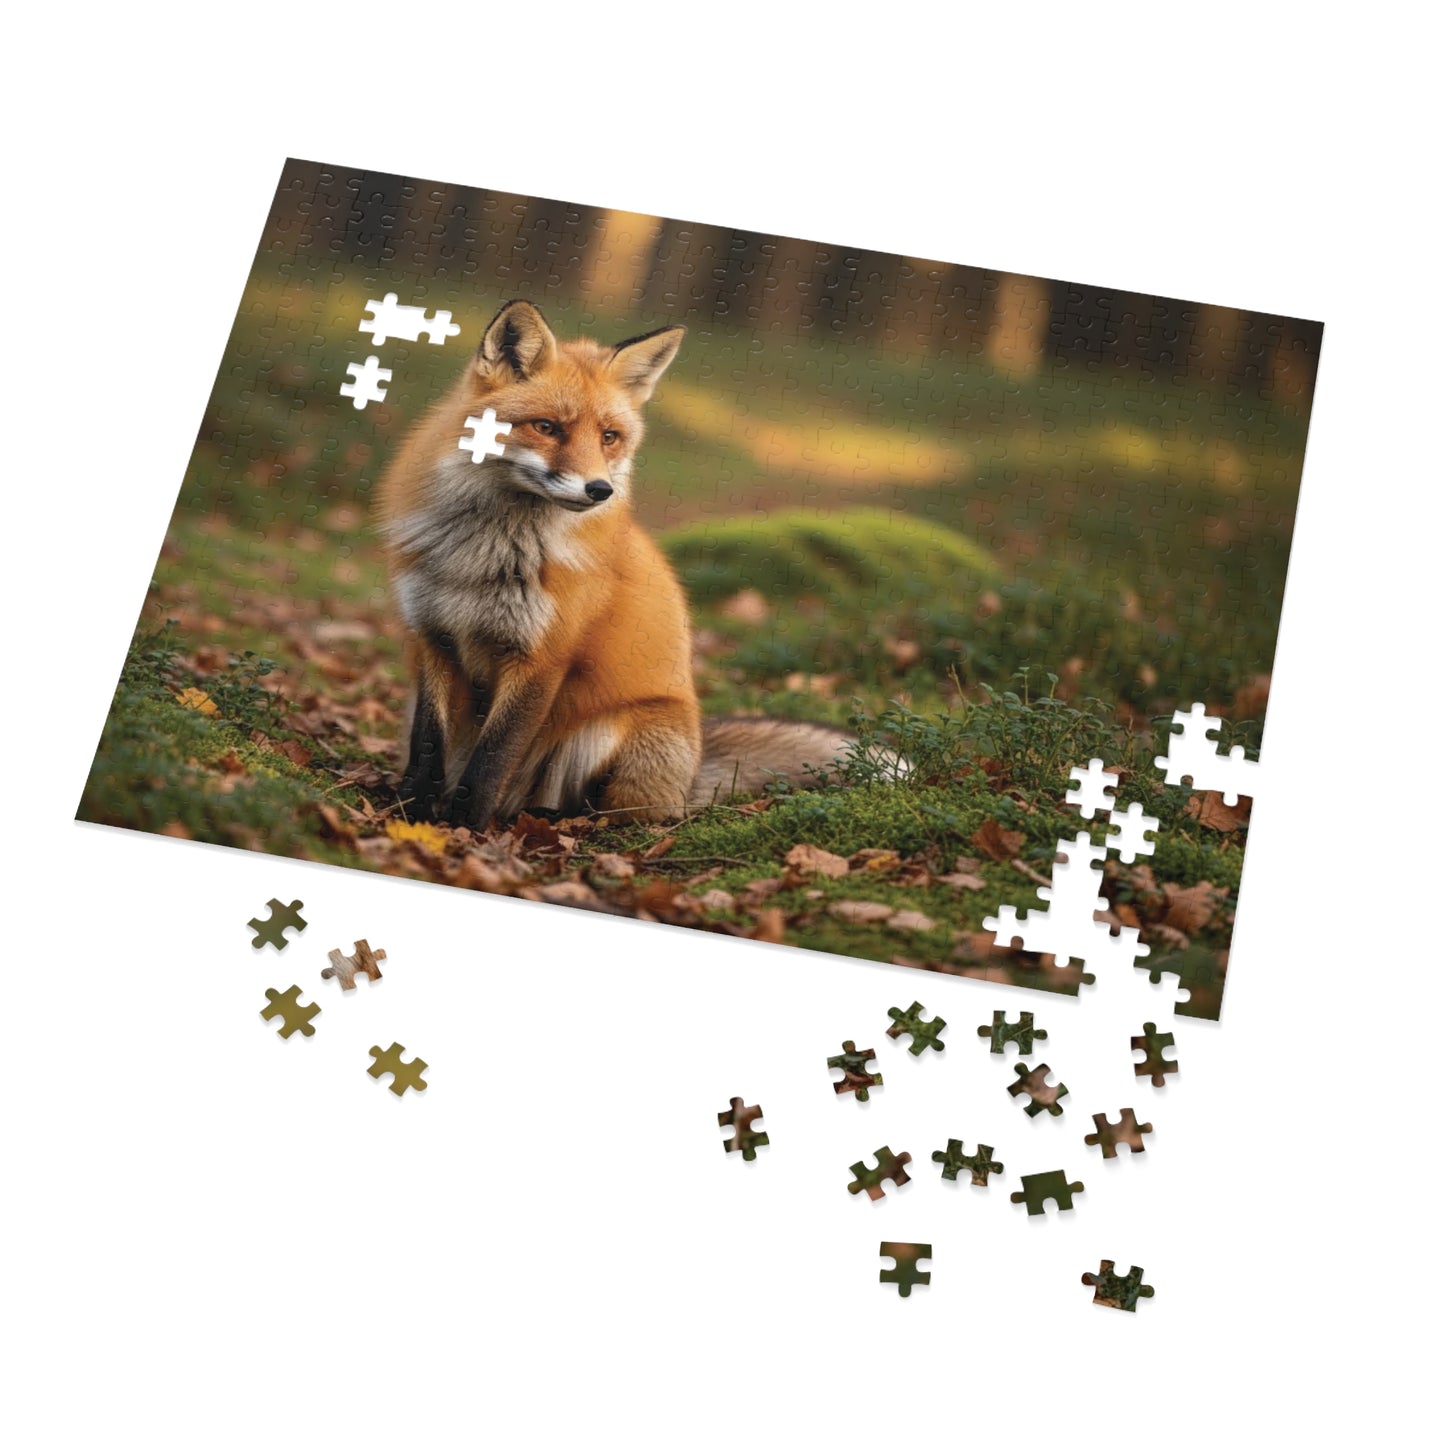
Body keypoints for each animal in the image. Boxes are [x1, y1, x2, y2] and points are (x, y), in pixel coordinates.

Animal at [374, 298, 850, 830]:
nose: (600, 490)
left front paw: (463, 829)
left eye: (609, 437)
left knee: (622, 811)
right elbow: (427, 748)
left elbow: (491, 762)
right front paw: (409, 815)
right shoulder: (433, 639)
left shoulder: (541, 659)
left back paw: (550, 819)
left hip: (610, 735)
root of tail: (694, 770)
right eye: (546, 427)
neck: (483, 552)